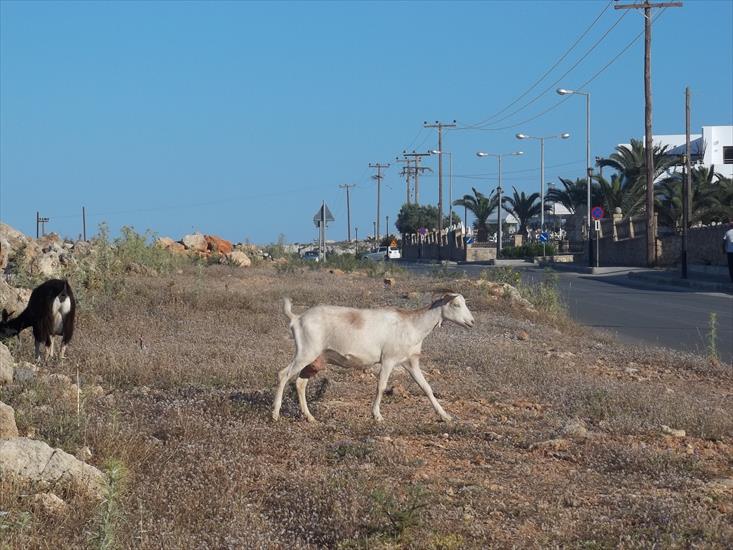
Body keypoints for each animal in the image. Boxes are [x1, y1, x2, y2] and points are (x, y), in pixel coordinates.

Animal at [274, 296, 474, 424]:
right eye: (456, 304)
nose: (471, 322)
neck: (412, 324)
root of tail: (297, 318)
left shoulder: (410, 362)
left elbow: (426, 388)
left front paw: (445, 416)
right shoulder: (388, 360)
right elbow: (381, 386)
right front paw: (377, 416)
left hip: (314, 360)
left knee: (300, 383)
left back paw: (310, 417)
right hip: (305, 352)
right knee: (283, 374)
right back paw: (275, 414)